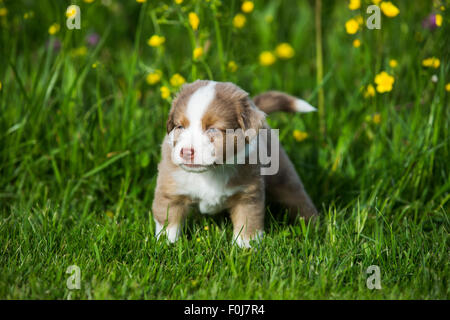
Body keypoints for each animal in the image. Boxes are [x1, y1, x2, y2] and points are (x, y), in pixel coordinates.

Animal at [153, 79, 318, 248]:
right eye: (180, 126)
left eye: (212, 129)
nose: (186, 152)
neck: (212, 172)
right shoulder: (170, 190)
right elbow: (168, 221)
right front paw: (165, 244)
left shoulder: (248, 194)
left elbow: (248, 220)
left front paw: (245, 246)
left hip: (283, 175)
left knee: (297, 197)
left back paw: (313, 226)